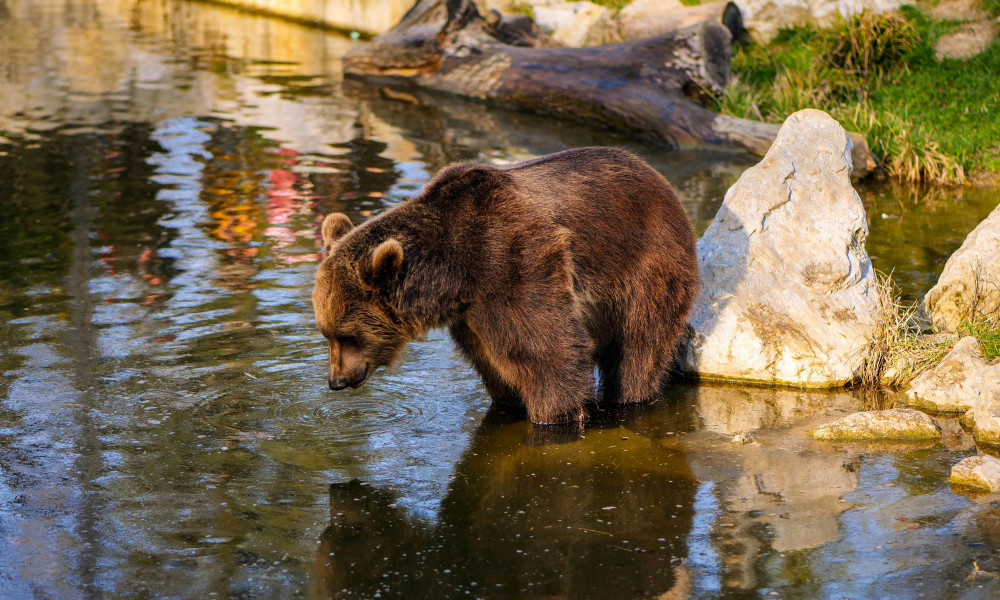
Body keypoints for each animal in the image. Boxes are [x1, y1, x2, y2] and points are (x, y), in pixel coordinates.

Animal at [310, 147, 696, 424]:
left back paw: (630, 393)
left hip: (645, 263)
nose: (336, 380)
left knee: (638, 345)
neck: (454, 274)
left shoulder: (511, 262)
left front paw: (555, 413)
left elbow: (546, 351)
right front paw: (509, 401)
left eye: (348, 335)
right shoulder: (470, 314)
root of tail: (655, 174)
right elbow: (494, 361)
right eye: (327, 334)